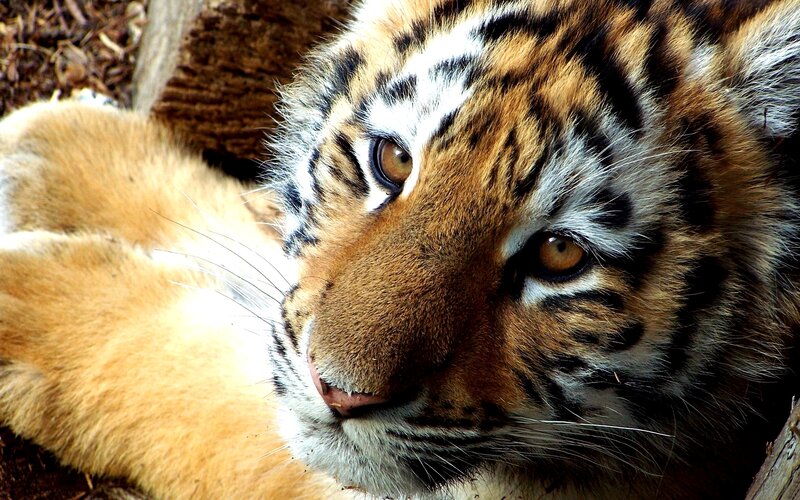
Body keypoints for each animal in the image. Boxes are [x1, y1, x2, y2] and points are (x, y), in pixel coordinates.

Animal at [1, 0, 799, 498]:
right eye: (390, 160)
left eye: (560, 255)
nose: (338, 392)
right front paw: (54, 153)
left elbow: (195, 380)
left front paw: (27, 303)